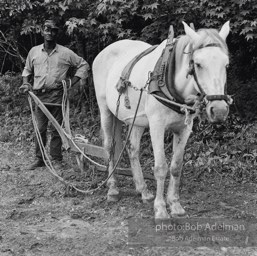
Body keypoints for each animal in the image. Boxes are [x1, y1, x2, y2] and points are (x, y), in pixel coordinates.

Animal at [92, 21, 230, 219]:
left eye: (226, 65)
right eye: (198, 64)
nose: (219, 110)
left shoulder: (184, 129)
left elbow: (176, 166)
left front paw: (175, 204)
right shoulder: (156, 126)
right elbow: (160, 167)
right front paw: (160, 208)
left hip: (137, 119)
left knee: (132, 149)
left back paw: (143, 190)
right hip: (106, 110)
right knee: (110, 148)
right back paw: (112, 189)